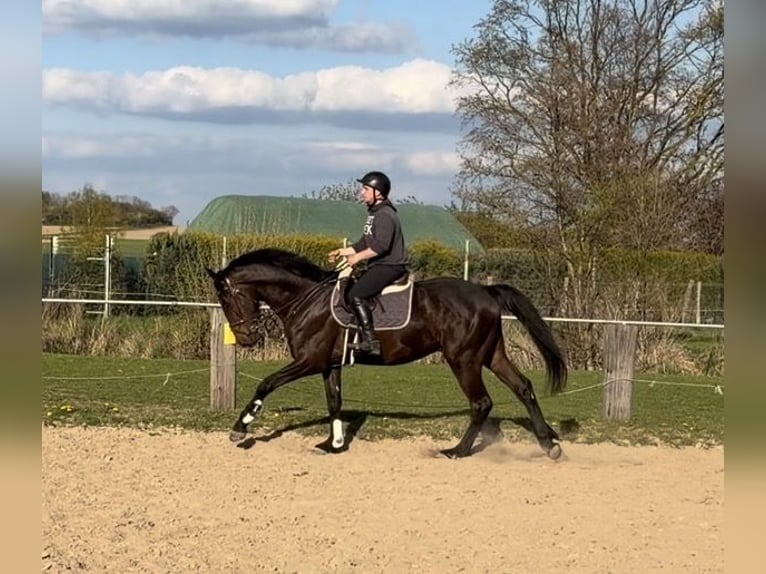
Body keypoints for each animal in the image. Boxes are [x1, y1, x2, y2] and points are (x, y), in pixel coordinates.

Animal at [206, 248, 567, 459]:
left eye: (226, 297)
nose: (246, 338)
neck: (308, 299)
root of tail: (486, 291)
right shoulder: (330, 364)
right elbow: (334, 401)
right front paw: (334, 445)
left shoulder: (309, 361)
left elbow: (266, 384)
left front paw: (240, 429)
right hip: (491, 354)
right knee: (523, 388)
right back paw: (548, 444)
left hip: (464, 359)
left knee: (481, 403)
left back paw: (457, 451)